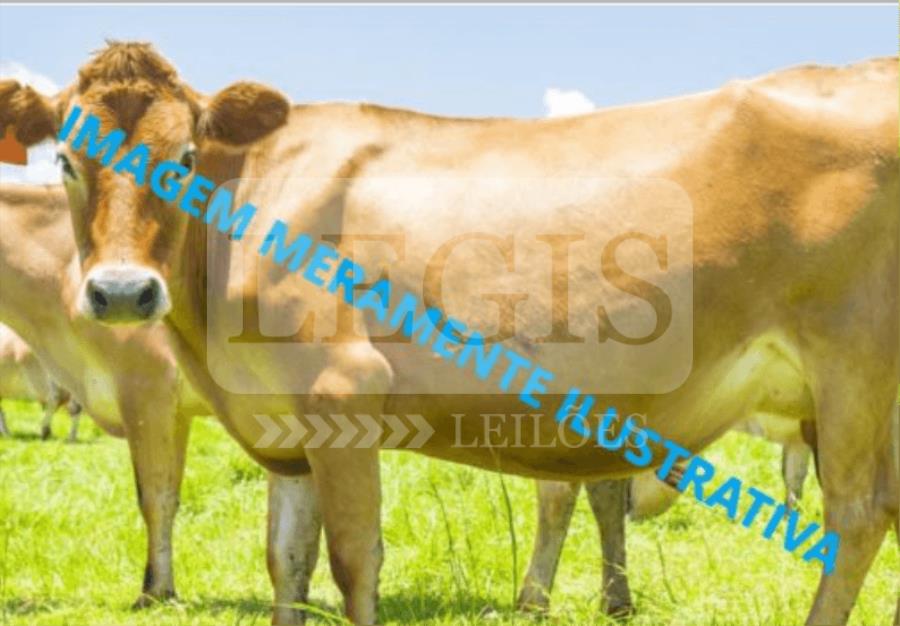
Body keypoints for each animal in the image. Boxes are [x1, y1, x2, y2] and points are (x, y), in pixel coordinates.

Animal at [2, 43, 896, 625]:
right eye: (67, 162)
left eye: (185, 156)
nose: (122, 292)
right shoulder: (282, 430)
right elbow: (285, 566)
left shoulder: (343, 394)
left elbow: (352, 560)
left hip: (853, 363)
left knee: (855, 516)